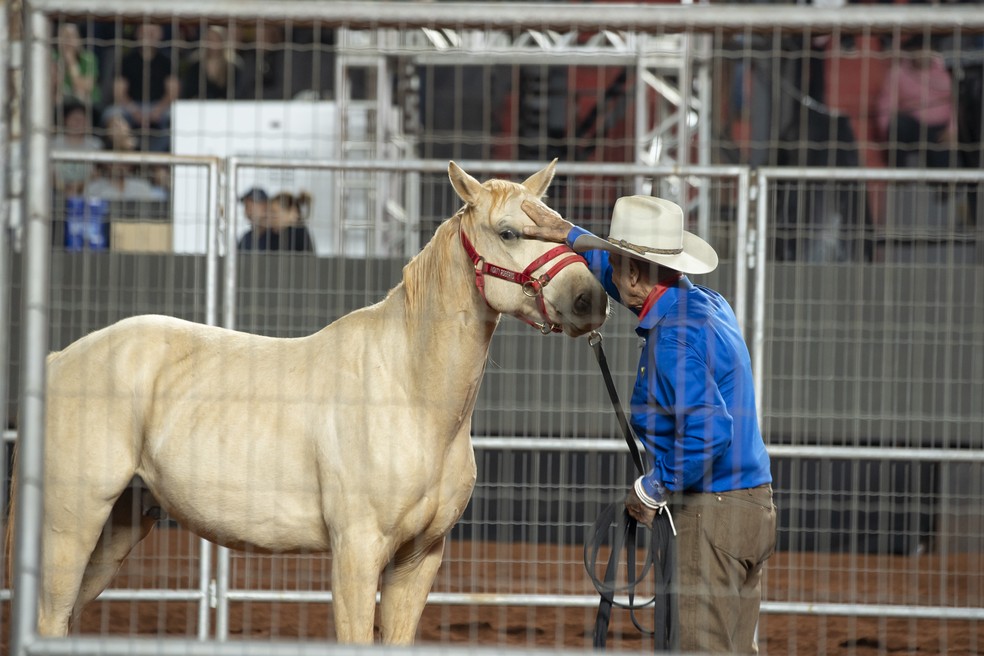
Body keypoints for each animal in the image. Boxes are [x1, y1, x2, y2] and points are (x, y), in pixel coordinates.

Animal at [13, 161, 608, 644]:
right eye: (509, 232)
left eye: (561, 225)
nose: (591, 299)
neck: (409, 394)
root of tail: (59, 360)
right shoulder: (356, 552)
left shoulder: (419, 560)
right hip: (72, 525)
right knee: (50, 618)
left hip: (118, 527)